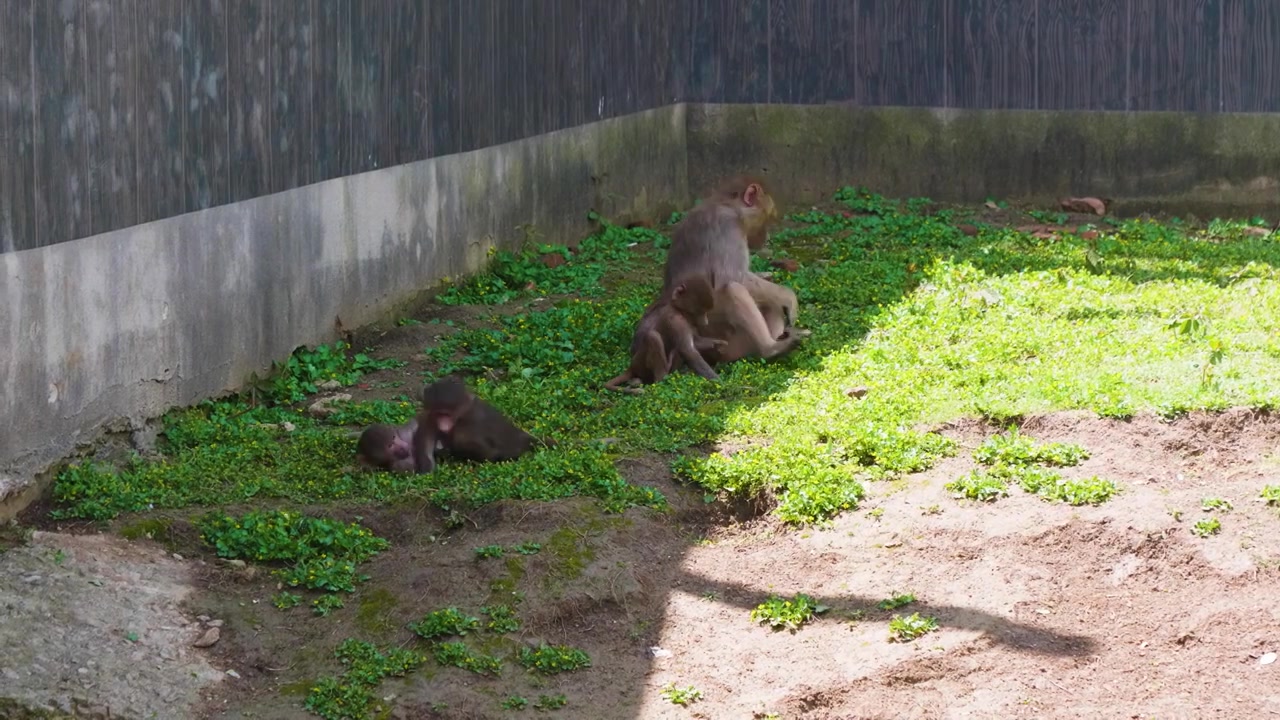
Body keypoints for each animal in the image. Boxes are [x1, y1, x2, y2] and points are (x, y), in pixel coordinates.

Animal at [414, 371, 545, 474]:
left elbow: (489, 451)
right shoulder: (429, 417)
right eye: (439, 414)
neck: (461, 415)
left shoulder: (471, 422)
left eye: (446, 414)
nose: (443, 424)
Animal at [665, 176, 803, 361]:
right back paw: (771, 349)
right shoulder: (728, 228)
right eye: (767, 217)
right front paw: (788, 296)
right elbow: (731, 278)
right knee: (733, 289)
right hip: (719, 330)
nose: (767, 237)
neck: (731, 207)